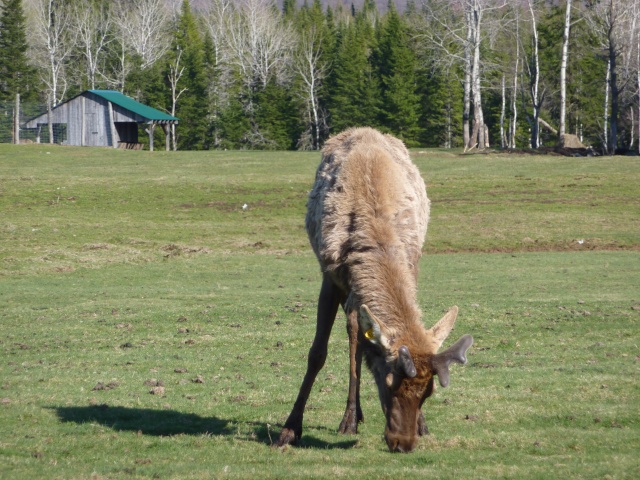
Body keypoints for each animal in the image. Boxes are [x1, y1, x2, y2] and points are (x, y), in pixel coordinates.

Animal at [272, 125, 472, 452]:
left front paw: (423, 425)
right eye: (387, 382)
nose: (403, 442)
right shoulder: (331, 275)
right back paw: (350, 417)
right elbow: (317, 354)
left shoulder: (410, 266)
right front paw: (290, 428)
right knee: (353, 335)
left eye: (428, 392)